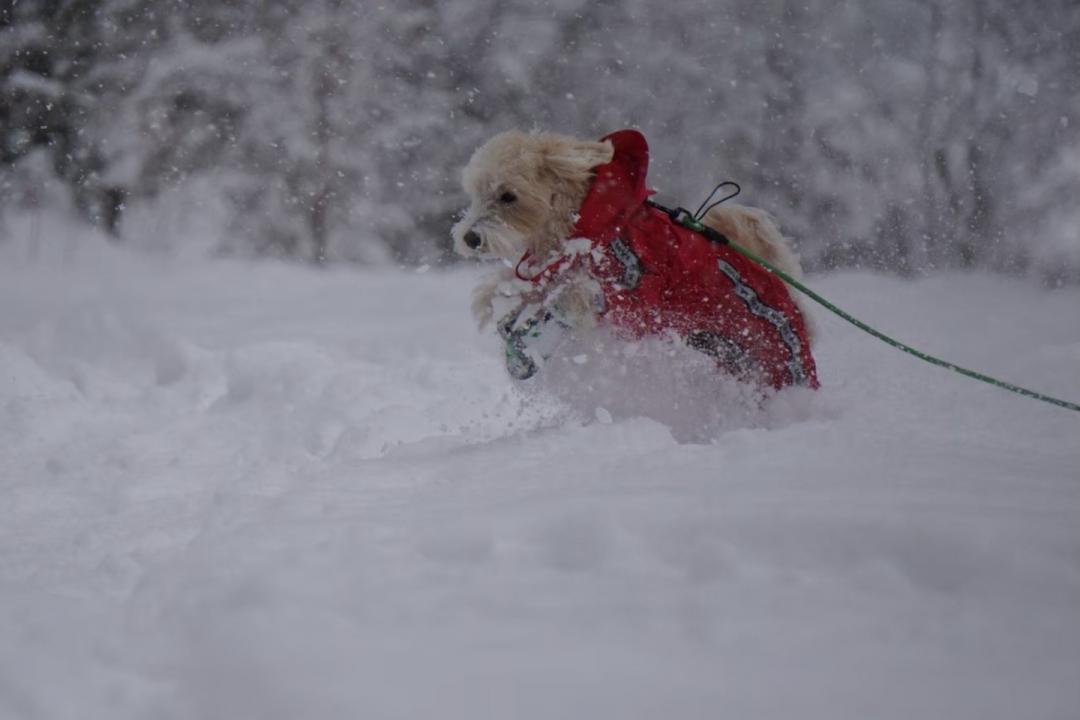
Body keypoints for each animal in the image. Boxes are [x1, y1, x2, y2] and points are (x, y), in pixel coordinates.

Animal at [449, 127, 816, 390]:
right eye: (476, 194)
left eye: (508, 196)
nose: (470, 238)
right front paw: (501, 302)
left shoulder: (634, 298)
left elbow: (577, 294)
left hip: (776, 362)